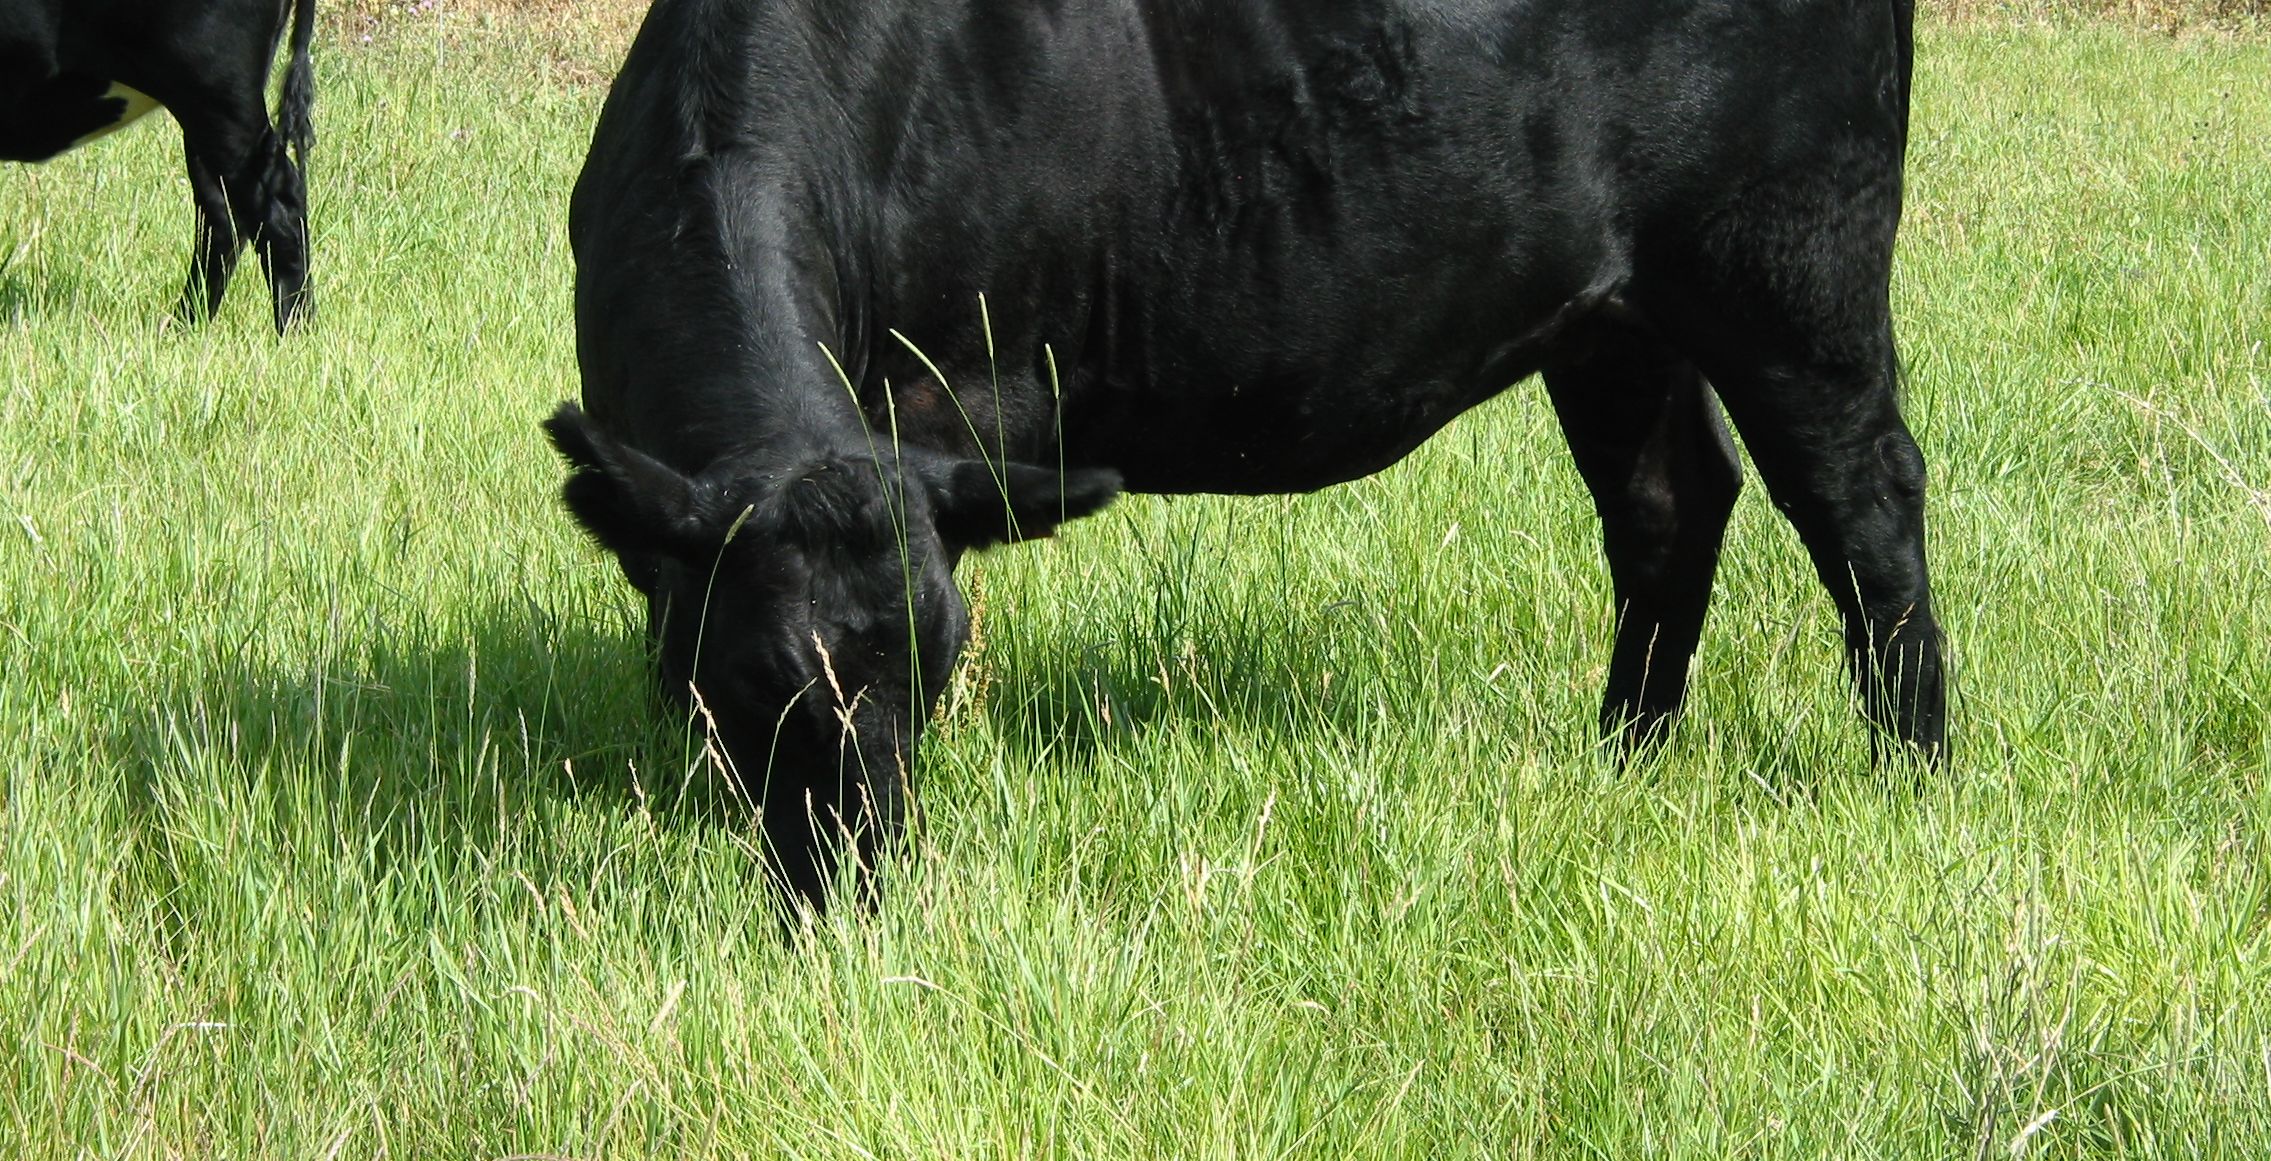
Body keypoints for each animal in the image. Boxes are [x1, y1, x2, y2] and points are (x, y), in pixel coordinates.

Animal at [1, 0, 315, 332]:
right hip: (205, 118)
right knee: (223, 217)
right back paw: (185, 326)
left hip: (217, 95)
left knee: (278, 207)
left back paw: (293, 330)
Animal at [546, 0, 1947, 910]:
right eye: (760, 673)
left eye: (933, 670)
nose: (854, 889)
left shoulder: (949, 414)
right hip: (1615, 319)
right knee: (1668, 503)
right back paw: (1628, 756)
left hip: (1791, 273)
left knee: (1865, 502)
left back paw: (1912, 768)